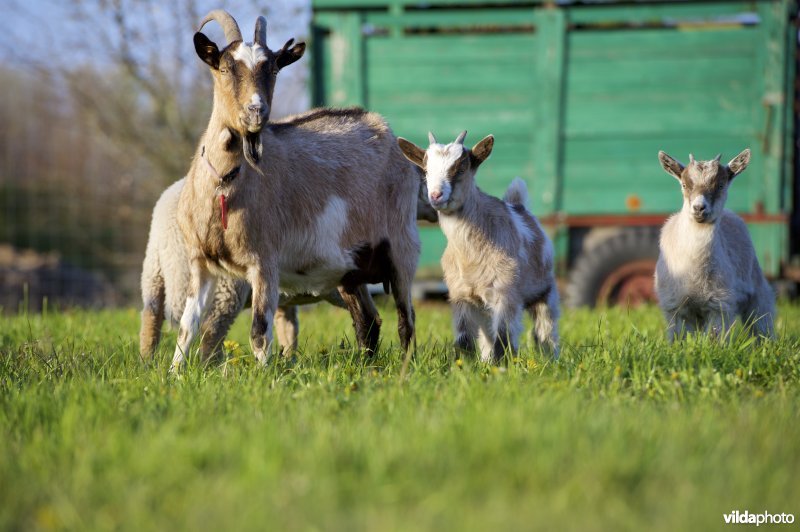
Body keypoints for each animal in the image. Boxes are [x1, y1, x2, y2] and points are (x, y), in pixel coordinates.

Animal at [169, 12, 418, 370]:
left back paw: (405, 370)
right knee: (368, 321)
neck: (226, 185)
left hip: (401, 247)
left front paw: (263, 376)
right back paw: (365, 367)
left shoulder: (264, 261)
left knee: (405, 318)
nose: (256, 111)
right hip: (350, 268)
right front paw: (173, 375)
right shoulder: (199, 262)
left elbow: (259, 330)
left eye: (273, 68)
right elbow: (187, 326)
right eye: (225, 68)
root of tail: (382, 127)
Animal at [398, 132, 560, 362]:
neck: (470, 254)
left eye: (461, 167)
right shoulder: (461, 296)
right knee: (487, 337)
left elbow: (503, 338)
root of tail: (518, 206)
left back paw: (550, 359)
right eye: (426, 170)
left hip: (545, 291)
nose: (436, 196)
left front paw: (502, 366)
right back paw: (486, 360)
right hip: (484, 306)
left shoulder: (506, 294)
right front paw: (464, 365)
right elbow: (464, 340)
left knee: (545, 331)